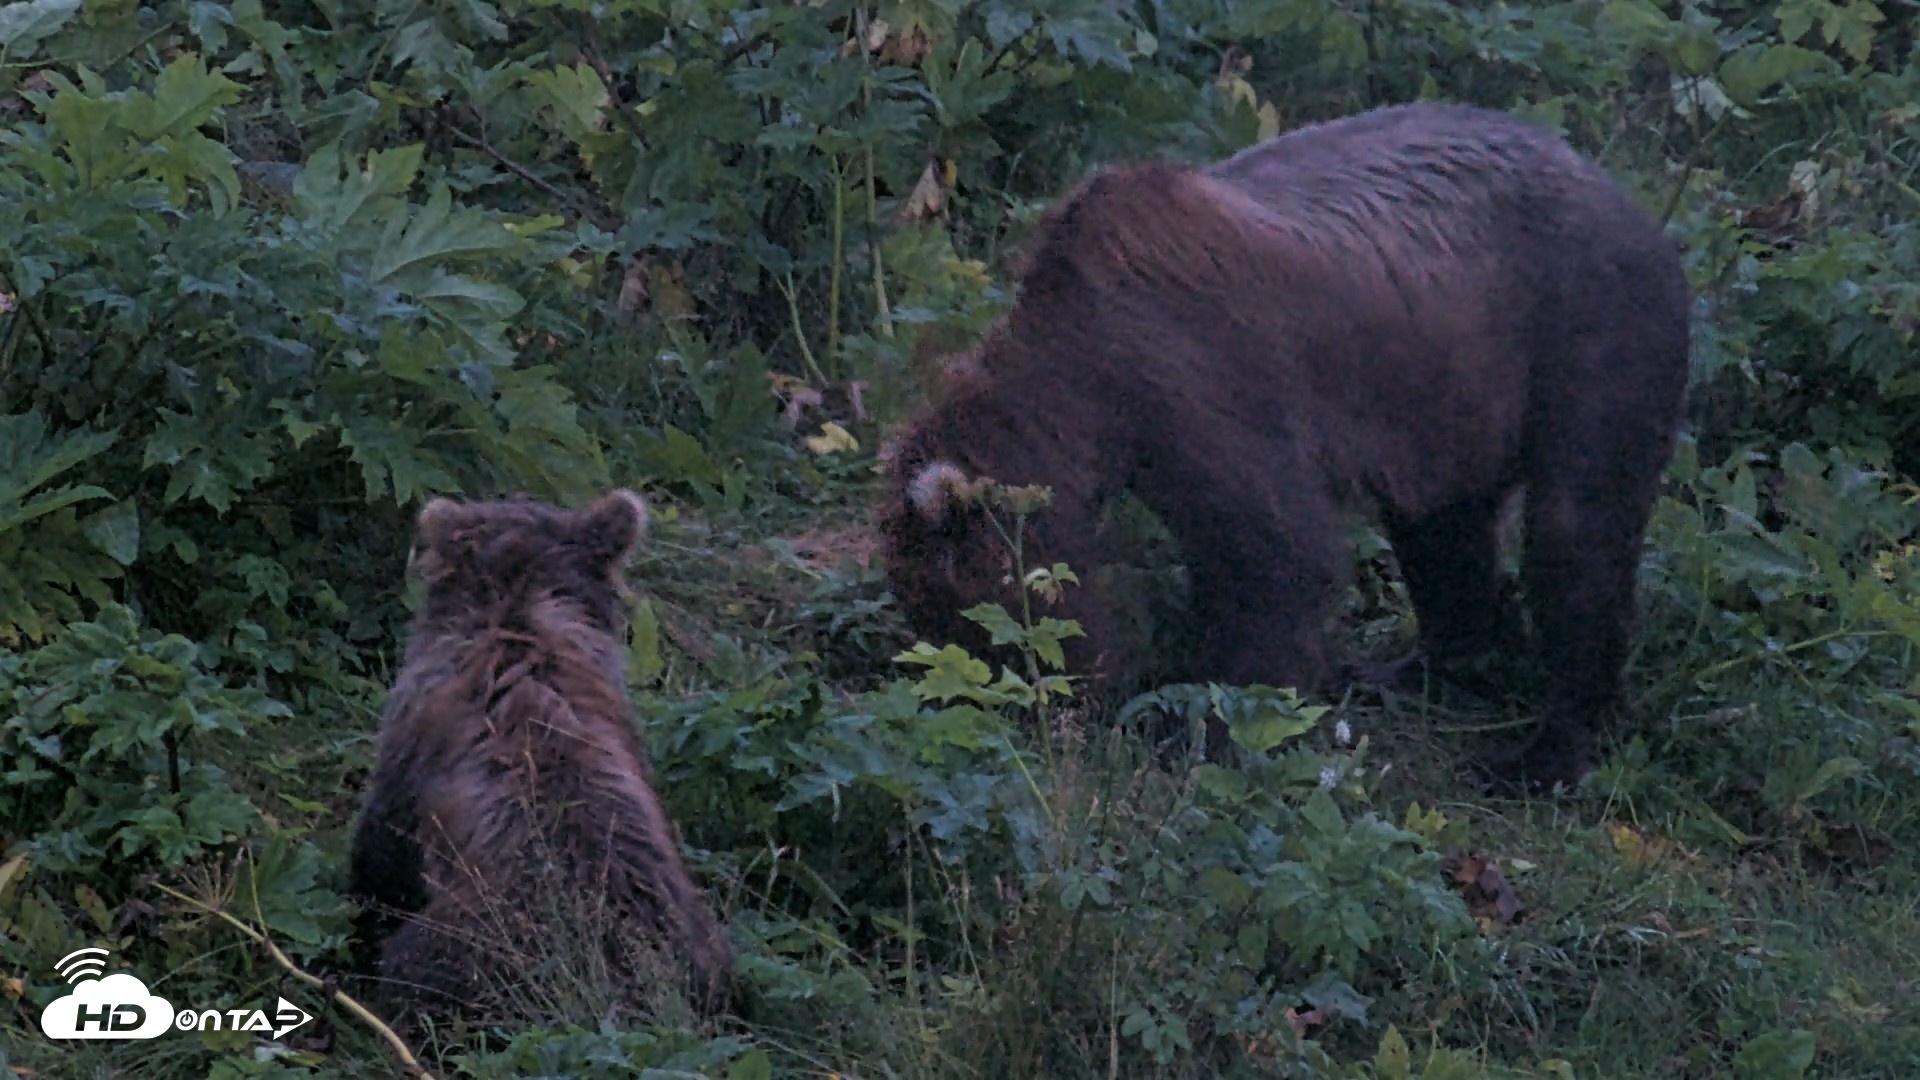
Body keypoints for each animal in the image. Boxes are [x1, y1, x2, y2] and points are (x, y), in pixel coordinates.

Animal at [876, 102, 1692, 792]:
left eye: (969, 619)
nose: (1026, 714)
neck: (1088, 376)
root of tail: (1633, 200)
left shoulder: (1205, 378)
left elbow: (1275, 554)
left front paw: (1214, 728)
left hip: (1584, 334)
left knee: (1577, 533)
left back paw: (1543, 750)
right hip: (1452, 383)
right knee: (1442, 532)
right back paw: (1410, 666)